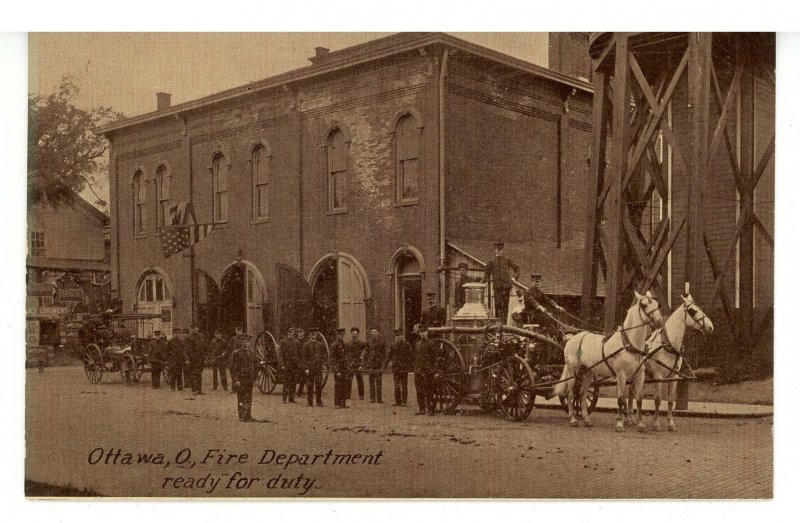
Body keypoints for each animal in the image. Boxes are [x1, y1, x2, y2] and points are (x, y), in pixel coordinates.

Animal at [552, 290, 664, 430]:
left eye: (656, 304)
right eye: (644, 305)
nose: (660, 323)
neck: (628, 343)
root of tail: (571, 338)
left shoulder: (639, 375)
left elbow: (638, 399)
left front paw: (641, 424)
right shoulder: (621, 375)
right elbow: (621, 399)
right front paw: (620, 423)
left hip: (588, 372)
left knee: (582, 395)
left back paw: (587, 420)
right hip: (573, 371)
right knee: (571, 394)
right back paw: (573, 419)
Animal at [644, 294, 712, 434]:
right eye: (693, 310)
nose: (710, 327)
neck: (667, 345)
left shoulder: (674, 376)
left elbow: (670, 400)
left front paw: (670, 423)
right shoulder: (658, 377)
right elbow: (657, 399)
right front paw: (656, 424)